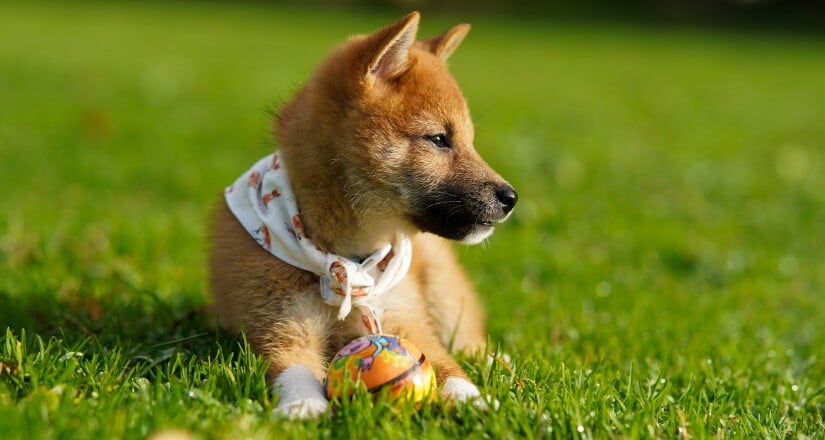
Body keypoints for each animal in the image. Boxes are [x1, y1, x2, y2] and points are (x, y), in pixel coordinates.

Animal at [209, 11, 516, 420]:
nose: (511, 197)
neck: (348, 258)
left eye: (470, 141)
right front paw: (302, 407)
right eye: (438, 139)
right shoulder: (282, 328)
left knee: (472, 345)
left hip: (445, 298)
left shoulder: (407, 321)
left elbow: (448, 366)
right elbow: (294, 371)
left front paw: (475, 402)